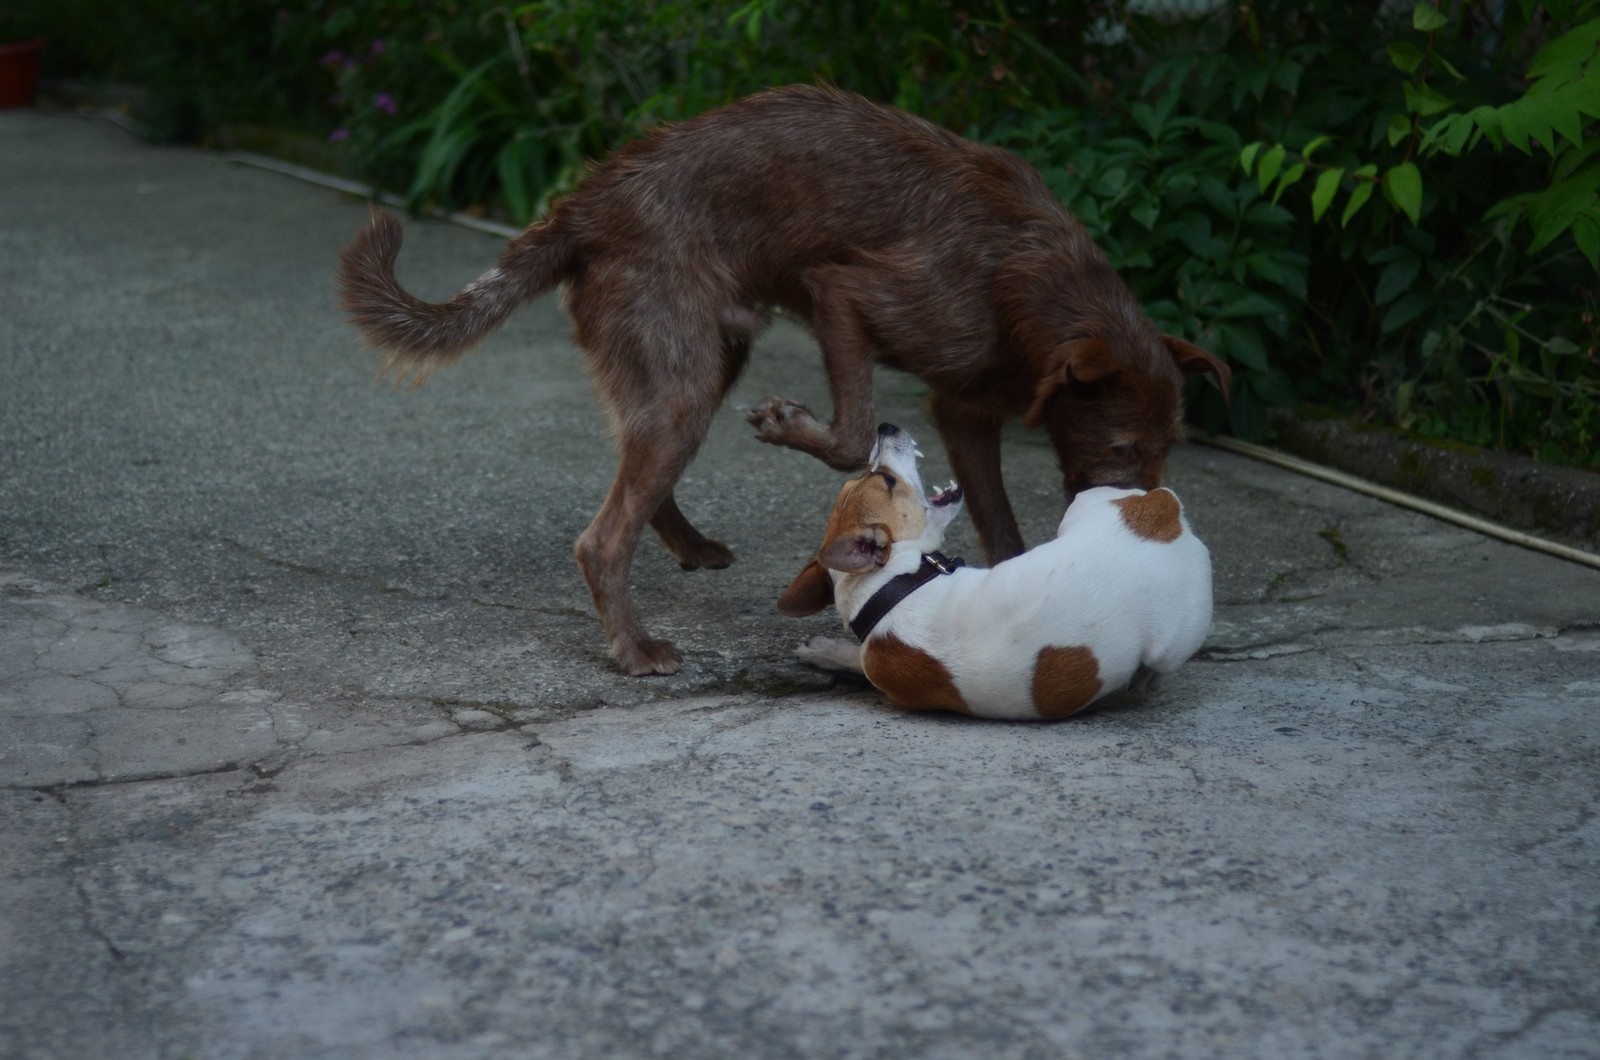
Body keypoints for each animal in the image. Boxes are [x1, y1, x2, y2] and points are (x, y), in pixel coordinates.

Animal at [340, 87, 1222, 675]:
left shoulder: (965, 408)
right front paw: (789, 424)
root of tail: (581, 207)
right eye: (1122, 443)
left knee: (636, 476)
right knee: (603, 536)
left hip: (698, 364)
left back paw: (688, 545)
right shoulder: (846, 295)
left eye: (1167, 445)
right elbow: (852, 435)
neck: (1030, 285)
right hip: (687, 372)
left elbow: (1001, 528)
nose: (1149, 508)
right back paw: (635, 648)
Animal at [777, 425, 1209, 723]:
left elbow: (857, 660)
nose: (884, 427)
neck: (890, 590)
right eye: (887, 480)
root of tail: (1163, 514)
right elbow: (857, 659)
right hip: (1171, 640)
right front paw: (827, 652)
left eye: (875, 477)